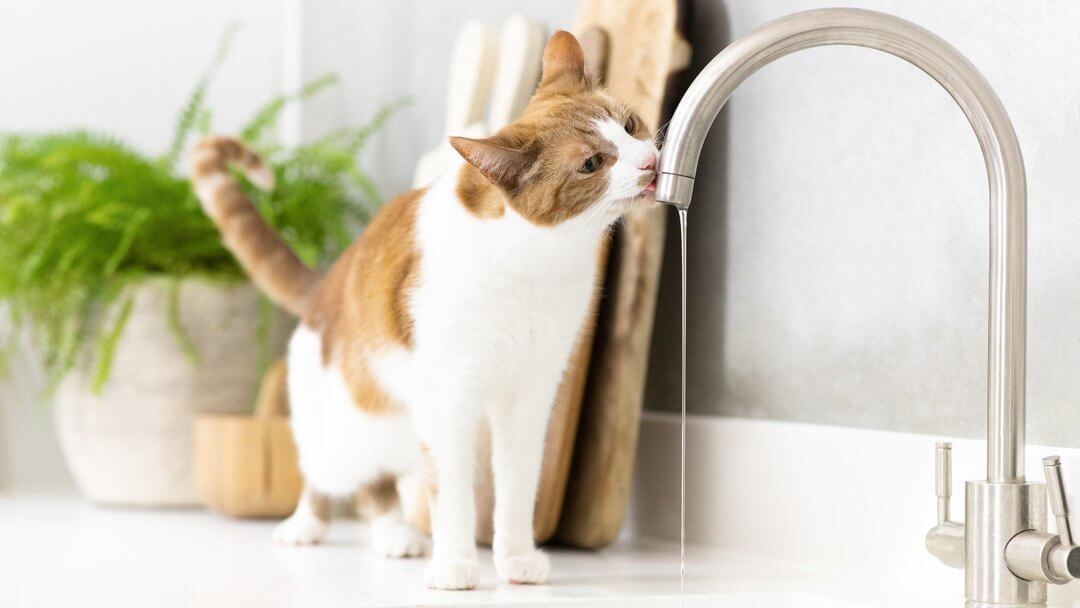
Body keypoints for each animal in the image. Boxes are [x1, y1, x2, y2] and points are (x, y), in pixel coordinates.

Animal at [187, 29, 656, 591]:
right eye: (591, 164)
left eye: (629, 126)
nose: (650, 163)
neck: (538, 259)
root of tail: (323, 286)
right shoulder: (449, 394)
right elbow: (449, 488)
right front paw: (455, 565)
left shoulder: (532, 390)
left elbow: (518, 484)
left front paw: (517, 557)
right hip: (348, 418)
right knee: (333, 472)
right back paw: (307, 524)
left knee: (380, 484)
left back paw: (395, 534)